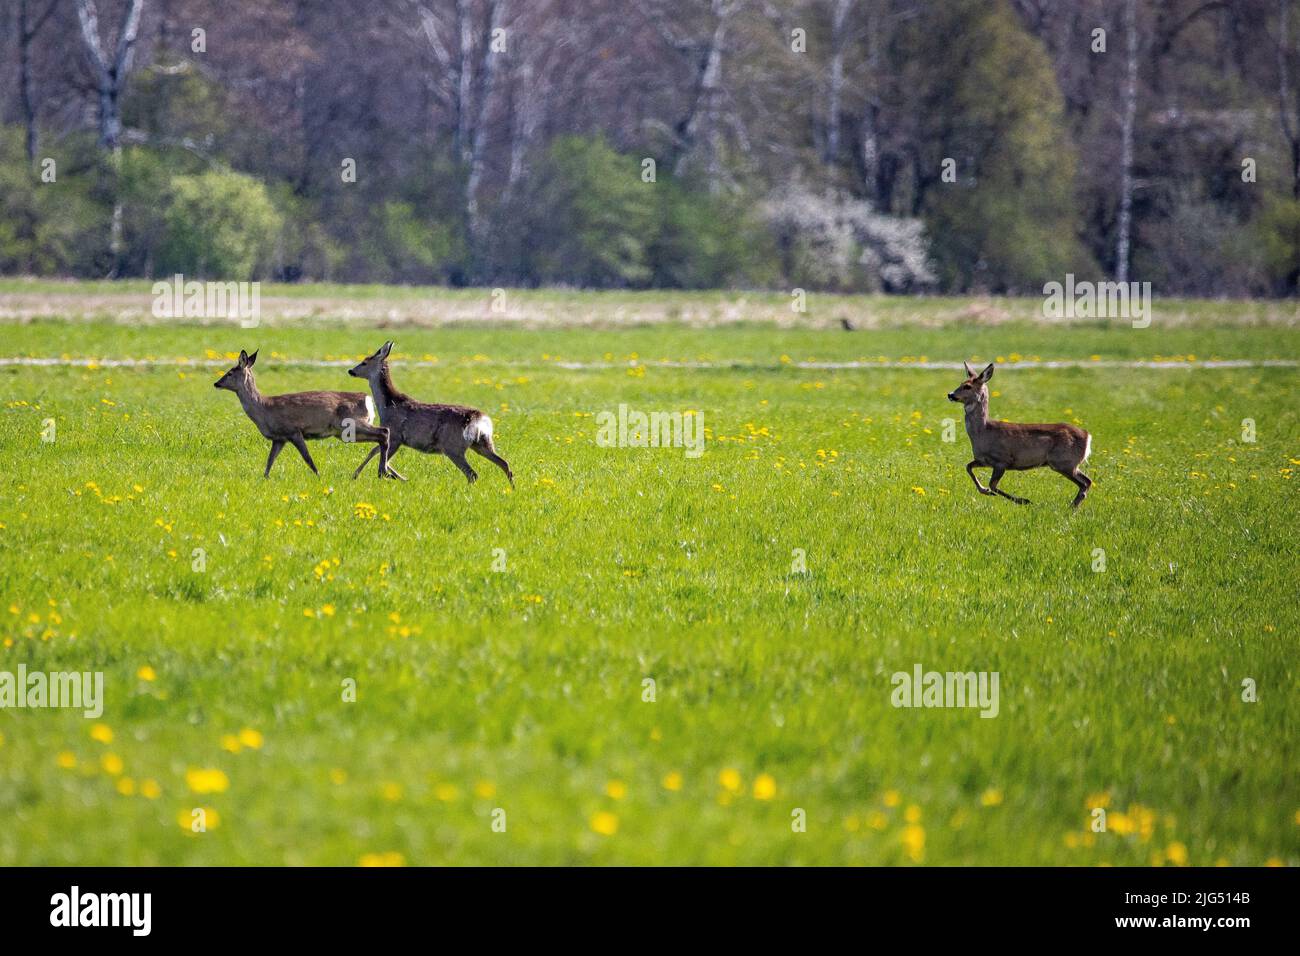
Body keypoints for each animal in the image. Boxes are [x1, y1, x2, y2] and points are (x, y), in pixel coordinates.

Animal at [209, 348, 384, 478]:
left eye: (229, 373)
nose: (216, 383)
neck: (264, 409)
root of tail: (367, 399)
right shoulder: (279, 439)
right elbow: (269, 462)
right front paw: (265, 478)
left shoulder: (294, 431)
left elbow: (308, 459)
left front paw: (318, 476)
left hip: (350, 425)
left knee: (383, 432)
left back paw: (380, 472)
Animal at [345, 340, 517, 486]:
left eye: (364, 362)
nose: (351, 370)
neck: (388, 406)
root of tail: (479, 419)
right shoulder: (395, 438)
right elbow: (379, 456)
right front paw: (399, 477)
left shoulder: (395, 435)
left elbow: (379, 456)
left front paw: (359, 475)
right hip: (482, 443)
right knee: (504, 463)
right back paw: (513, 488)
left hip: (454, 446)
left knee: (472, 474)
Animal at [951, 361, 1092, 509]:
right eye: (961, 383)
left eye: (967, 386)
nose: (950, 394)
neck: (983, 432)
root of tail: (1087, 436)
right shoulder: (983, 460)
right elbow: (968, 467)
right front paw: (984, 490)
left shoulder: (1002, 460)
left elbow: (993, 485)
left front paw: (1023, 500)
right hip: (1068, 463)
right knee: (1087, 481)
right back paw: (1072, 507)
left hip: (1063, 462)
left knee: (1085, 483)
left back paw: (1072, 507)